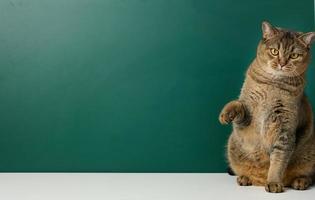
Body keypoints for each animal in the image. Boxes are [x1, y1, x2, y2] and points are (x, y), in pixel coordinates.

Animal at [220, 21, 315, 193]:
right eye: (274, 51)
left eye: (294, 55)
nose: (282, 63)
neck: (272, 85)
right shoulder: (248, 115)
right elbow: (237, 104)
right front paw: (226, 114)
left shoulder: (284, 130)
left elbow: (278, 161)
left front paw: (273, 182)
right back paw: (245, 178)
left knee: (309, 175)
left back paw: (300, 182)